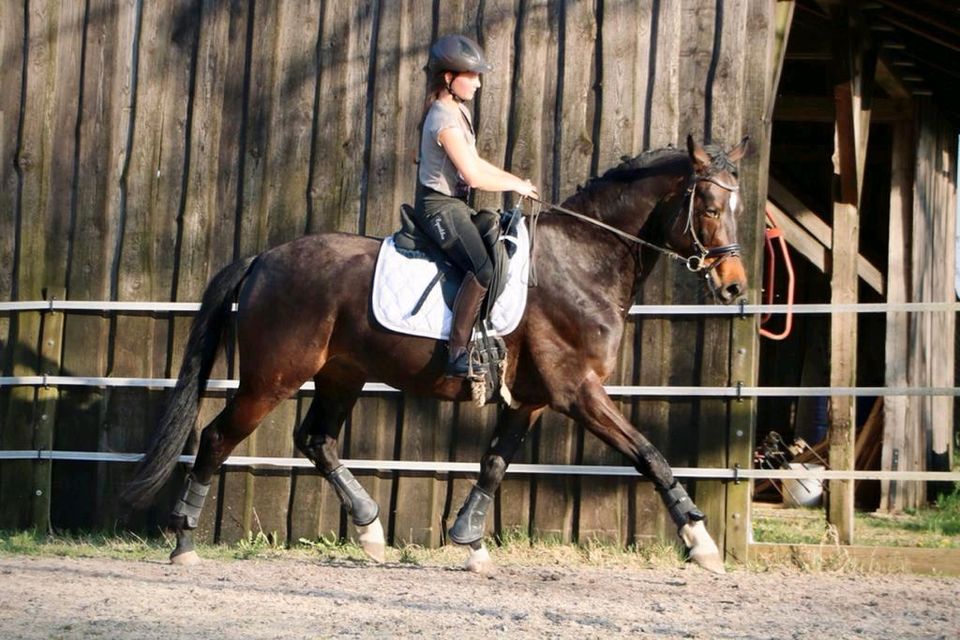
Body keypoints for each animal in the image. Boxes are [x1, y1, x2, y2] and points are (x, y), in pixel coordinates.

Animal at [120, 135, 752, 576]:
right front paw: (701, 543)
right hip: (272, 379)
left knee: (316, 441)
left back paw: (371, 533)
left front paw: (470, 542)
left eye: (737, 207)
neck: (583, 261)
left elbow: (494, 464)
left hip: (341, 376)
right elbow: (649, 455)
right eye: (709, 206)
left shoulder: (531, 401)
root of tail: (263, 259)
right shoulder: (578, 392)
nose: (735, 287)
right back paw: (184, 543)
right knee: (216, 439)